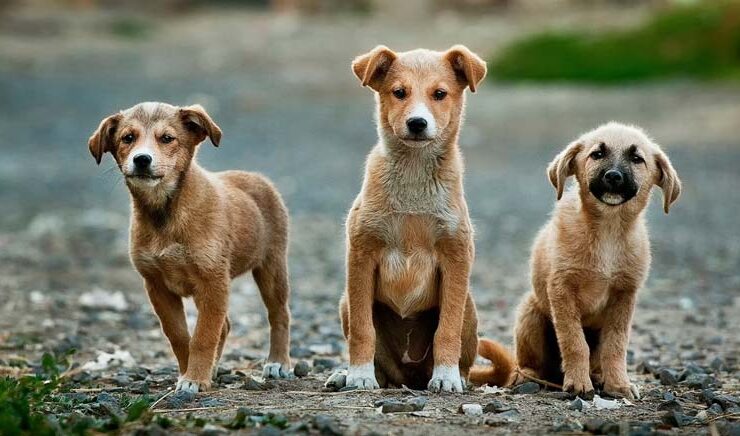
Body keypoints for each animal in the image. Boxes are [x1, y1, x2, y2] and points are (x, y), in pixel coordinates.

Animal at [89, 103, 292, 396]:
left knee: (279, 315)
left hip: (271, 267)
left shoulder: (213, 281)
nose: (142, 159)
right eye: (128, 138)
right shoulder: (157, 286)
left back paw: (278, 362)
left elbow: (203, 336)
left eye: (167, 138)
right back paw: (215, 368)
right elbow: (180, 336)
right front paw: (191, 373)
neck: (165, 213)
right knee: (225, 326)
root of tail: (256, 177)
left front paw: (195, 378)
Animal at [332, 44, 512, 392]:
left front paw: (446, 377)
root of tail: (410, 377)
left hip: (470, 307)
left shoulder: (456, 257)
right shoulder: (361, 254)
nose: (417, 123)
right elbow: (362, 329)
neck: (414, 176)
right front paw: (359, 375)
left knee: (462, 353)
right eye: (399, 92)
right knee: (382, 366)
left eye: (439, 94)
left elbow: (447, 329)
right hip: (346, 301)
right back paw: (348, 375)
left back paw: (455, 376)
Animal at [502, 122, 684, 398]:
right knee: (529, 362)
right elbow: (574, 342)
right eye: (597, 154)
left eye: (637, 159)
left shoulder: (624, 295)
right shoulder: (561, 289)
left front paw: (618, 384)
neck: (608, 230)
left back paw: (598, 377)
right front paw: (578, 382)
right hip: (530, 313)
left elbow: (616, 345)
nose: (613, 176)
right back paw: (526, 376)